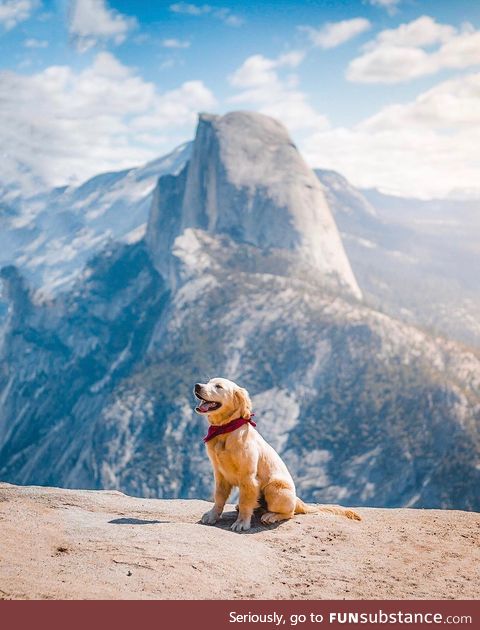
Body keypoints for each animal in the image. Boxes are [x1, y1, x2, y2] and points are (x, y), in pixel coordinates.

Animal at [194, 380, 360, 532]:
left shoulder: (248, 477)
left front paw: (241, 522)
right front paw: (212, 515)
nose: (197, 386)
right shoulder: (220, 474)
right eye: (208, 382)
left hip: (274, 489)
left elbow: (245, 501)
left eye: (218, 386)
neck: (225, 430)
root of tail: (297, 500)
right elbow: (219, 497)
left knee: (289, 513)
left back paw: (271, 516)